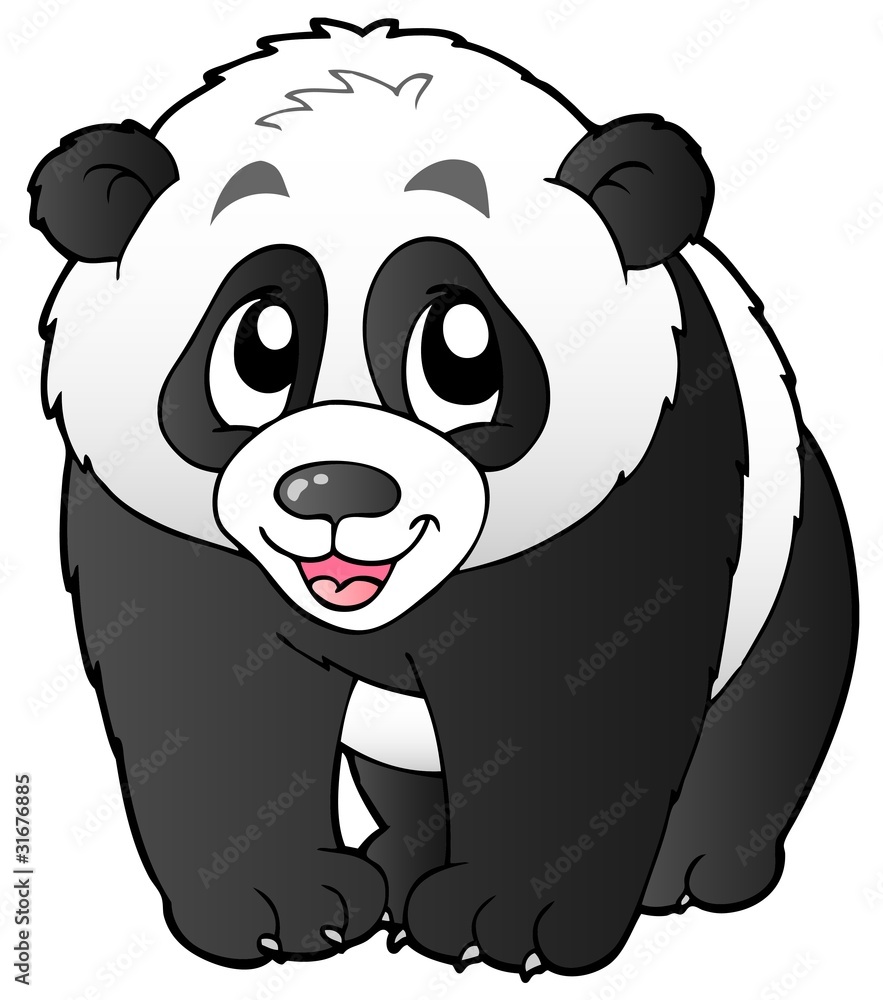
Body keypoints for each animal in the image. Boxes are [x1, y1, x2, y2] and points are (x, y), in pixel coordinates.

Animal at [29, 18, 857, 981]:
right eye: (258, 348)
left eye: (460, 355)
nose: (332, 490)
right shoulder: (159, 526)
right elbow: (209, 698)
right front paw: (279, 909)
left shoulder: (634, 489)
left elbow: (572, 695)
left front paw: (508, 920)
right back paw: (400, 863)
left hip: (792, 553)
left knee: (765, 703)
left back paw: (689, 867)